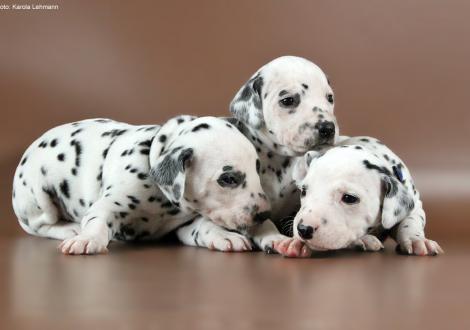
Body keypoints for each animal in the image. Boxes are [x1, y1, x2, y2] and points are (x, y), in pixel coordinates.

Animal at [11, 116, 294, 255]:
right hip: (37, 197)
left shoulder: (185, 225)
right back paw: (70, 229)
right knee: (40, 226)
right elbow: (97, 221)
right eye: (228, 179)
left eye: (257, 168)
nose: (265, 214)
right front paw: (87, 239)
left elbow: (204, 227)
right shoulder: (107, 206)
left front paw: (236, 236)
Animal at [292, 135, 442, 256]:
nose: (303, 229)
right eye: (303, 191)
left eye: (349, 198)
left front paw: (417, 240)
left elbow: (411, 220)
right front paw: (363, 240)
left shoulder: (415, 204)